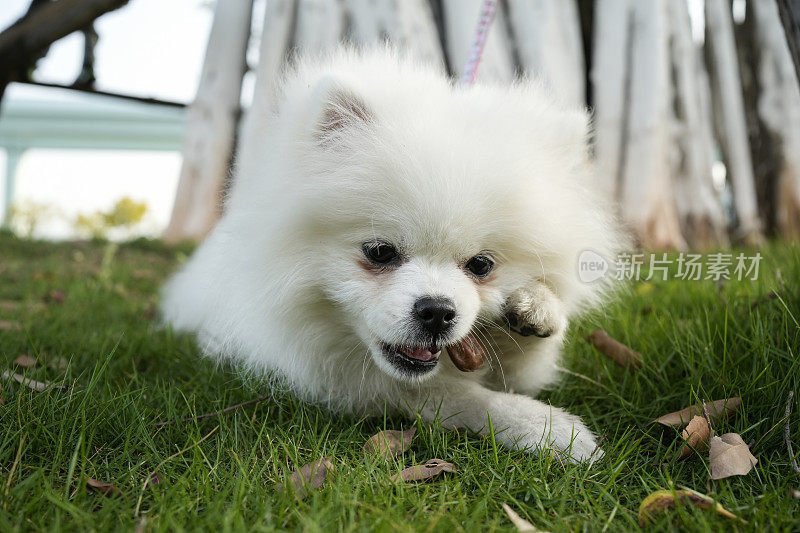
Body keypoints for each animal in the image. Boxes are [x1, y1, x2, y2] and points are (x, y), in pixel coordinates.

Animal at [162, 47, 620, 462]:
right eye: (380, 252)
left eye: (481, 265)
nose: (437, 311)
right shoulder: (347, 379)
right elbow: (459, 396)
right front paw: (546, 427)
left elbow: (530, 358)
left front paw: (539, 307)